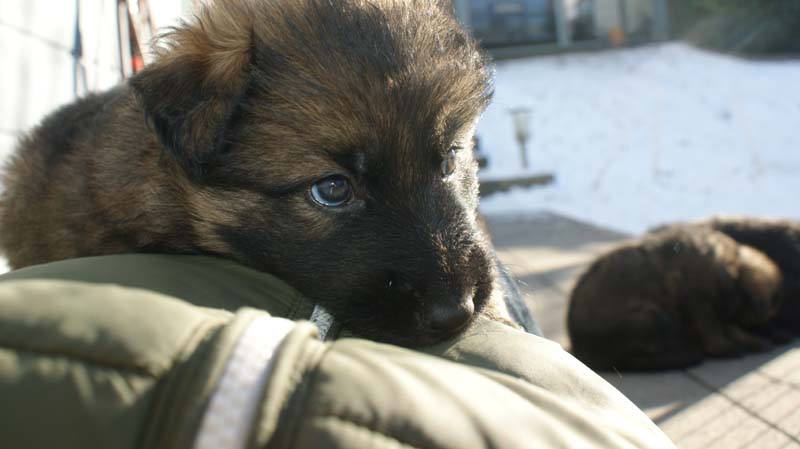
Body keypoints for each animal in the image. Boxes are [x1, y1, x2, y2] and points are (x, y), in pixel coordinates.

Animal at [567, 225, 781, 371]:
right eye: (765, 314)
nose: (780, 335)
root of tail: (579, 348)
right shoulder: (699, 303)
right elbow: (714, 330)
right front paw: (727, 348)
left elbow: (729, 327)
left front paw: (750, 341)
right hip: (649, 317)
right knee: (636, 359)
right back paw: (686, 353)